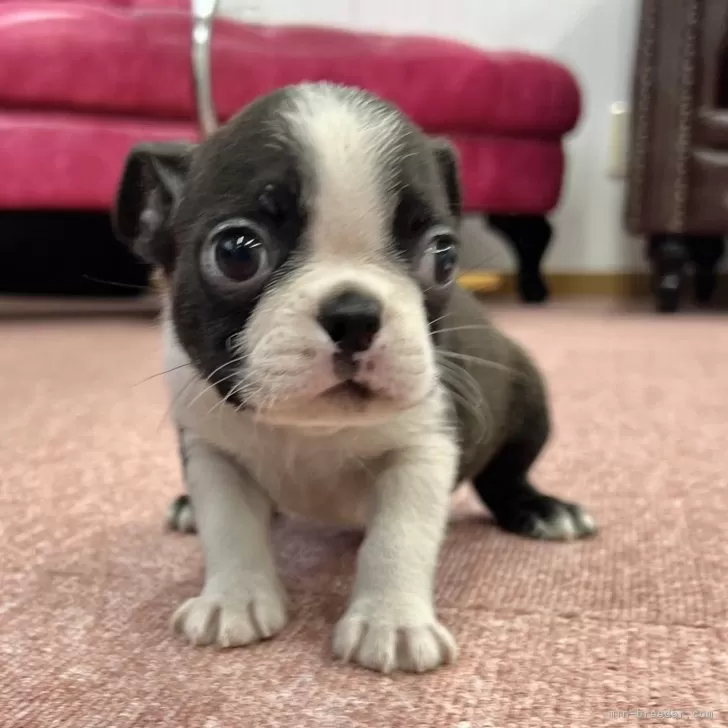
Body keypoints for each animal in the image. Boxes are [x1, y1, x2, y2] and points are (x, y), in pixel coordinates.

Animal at [111, 82, 596, 672]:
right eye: (235, 252)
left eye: (444, 255)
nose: (354, 314)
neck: (312, 431)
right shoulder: (212, 451)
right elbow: (229, 526)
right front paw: (234, 598)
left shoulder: (422, 450)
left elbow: (398, 536)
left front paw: (392, 622)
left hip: (528, 401)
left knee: (506, 476)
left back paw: (541, 509)